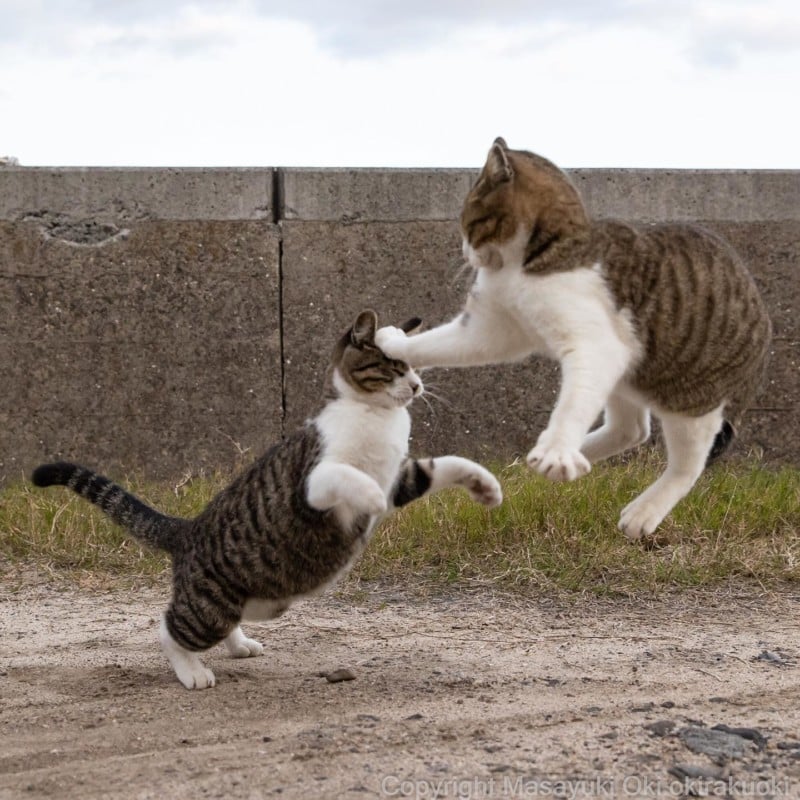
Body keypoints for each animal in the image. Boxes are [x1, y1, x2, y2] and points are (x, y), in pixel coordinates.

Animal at [36, 310, 506, 688]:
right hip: (209, 607)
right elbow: (347, 476)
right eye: (393, 366)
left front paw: (484, 483)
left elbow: (442, 465)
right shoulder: (314, 484)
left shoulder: (402, 478)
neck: (377, 417)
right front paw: (369, 494)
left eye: (414, 365)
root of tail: (189, 529)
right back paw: (192, 672)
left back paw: (239, 645)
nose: (417, 385)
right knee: (168, 628)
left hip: (259, 601)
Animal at [378, 138, 772, 540]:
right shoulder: (493, 328)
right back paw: (565, 454)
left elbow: (572, 404)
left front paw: (557, 448)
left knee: (687, 464)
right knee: (632, 429)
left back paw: (642, 510)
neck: (523, 264)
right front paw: (393, 342)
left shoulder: (595, 347)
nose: (463, 251)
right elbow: (435, 343)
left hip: (691, 398)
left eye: (468, 222)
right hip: (627, 377)